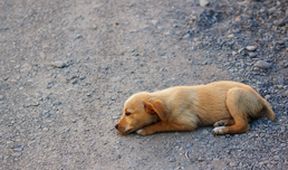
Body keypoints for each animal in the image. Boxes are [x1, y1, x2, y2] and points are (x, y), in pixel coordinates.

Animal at [115, 80, 274, 135]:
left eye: (128, 113)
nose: (115, 126)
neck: (166, 101)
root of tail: (260, 98)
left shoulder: (187, 123)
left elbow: (163, 124)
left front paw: (146, 129)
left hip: (233, 95)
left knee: (243, 124)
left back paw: (222, 130)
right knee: (245, 119)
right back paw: (222, 122)